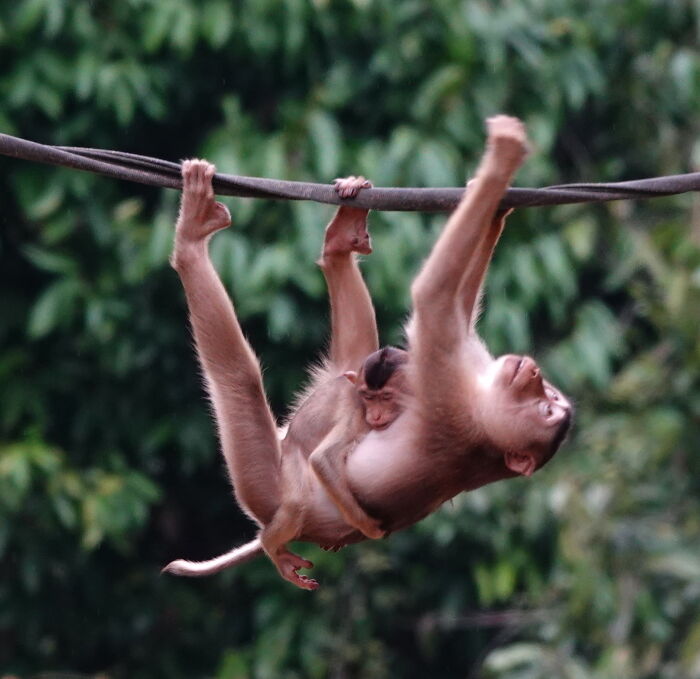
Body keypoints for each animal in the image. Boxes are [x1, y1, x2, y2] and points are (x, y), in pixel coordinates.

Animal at [165, 117, 576, 588]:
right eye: (550, 400)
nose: (535, 376)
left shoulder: (442, 401)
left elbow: (432, 297)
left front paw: (502, 158)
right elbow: (452, 304)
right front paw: (492, 195)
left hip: (270, 483)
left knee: (241, 380)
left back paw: (194, 234)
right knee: (348, 356)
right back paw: (341, 236)